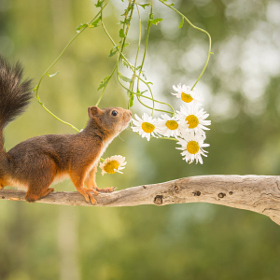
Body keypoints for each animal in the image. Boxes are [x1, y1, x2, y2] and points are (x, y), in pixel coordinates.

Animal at [0, 55, 132, 203]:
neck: (95, 137)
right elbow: (78, 176)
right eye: (114, 113)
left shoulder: (92, 165)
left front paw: (100, 189)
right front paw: (84, 191)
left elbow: (90, 181)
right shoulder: (82, 156)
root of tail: (10, 166)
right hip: (44, 166)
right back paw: (44, 192)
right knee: (30, 197)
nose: (130, 113)